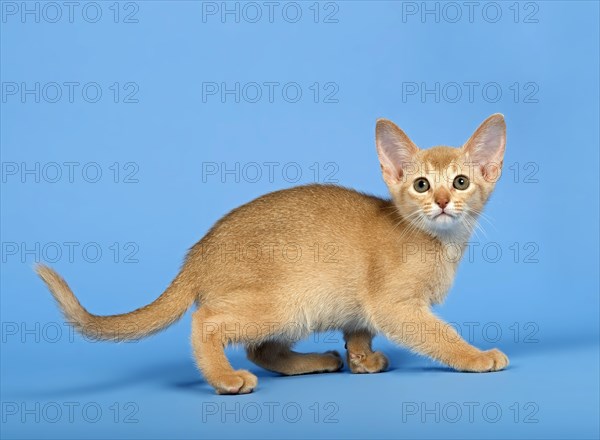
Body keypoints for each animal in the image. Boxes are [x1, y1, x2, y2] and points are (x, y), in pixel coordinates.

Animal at [36, 114, 506, 396]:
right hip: (286, 303)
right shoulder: (394, 305)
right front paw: (476, 356)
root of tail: (198, 252)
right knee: (207, 322)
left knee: (261, 350)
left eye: (461, 182)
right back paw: (225, 379)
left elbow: (358, 330)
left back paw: (317, 361)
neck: (440, 241)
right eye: (422, 185)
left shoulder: (360, 304)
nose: (443, 201)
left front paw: (362, 360)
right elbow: (438, 335)